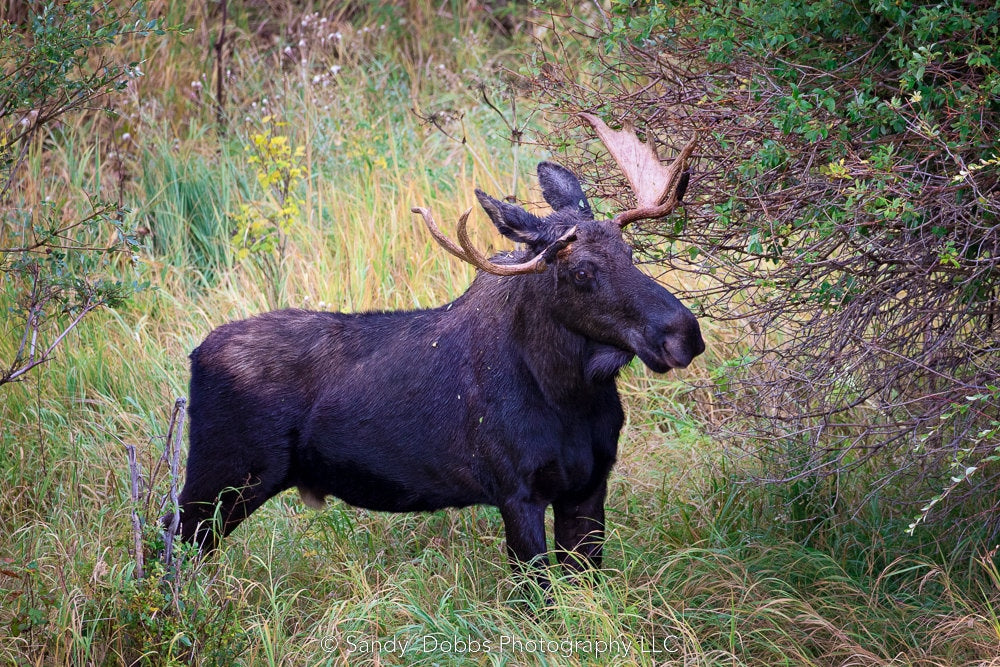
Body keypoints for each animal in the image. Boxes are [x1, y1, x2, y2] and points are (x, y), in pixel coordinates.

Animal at [172, 116, 704, 588]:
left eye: (630, 254)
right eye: (581, 272)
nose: (685, 334)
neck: (570, 396)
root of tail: (196, 355)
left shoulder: (589, 487)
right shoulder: (517, 492)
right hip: (220, 478)